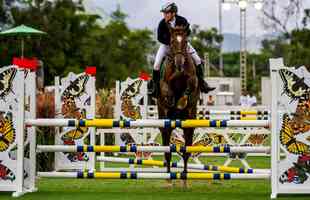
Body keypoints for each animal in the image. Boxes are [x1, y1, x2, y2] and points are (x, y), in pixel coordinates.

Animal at [159, 25, 200, 181]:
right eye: (171, 41)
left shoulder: (193, 79)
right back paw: (168, 176)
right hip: (165, 124)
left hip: (189, 124)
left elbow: (190, 84)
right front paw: (171, 100)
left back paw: (184, 176)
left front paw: (182, 101)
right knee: (167, 151)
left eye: (185, 41)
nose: (179, 63)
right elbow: (167, 89)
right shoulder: (165, 82)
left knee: (186, 152)